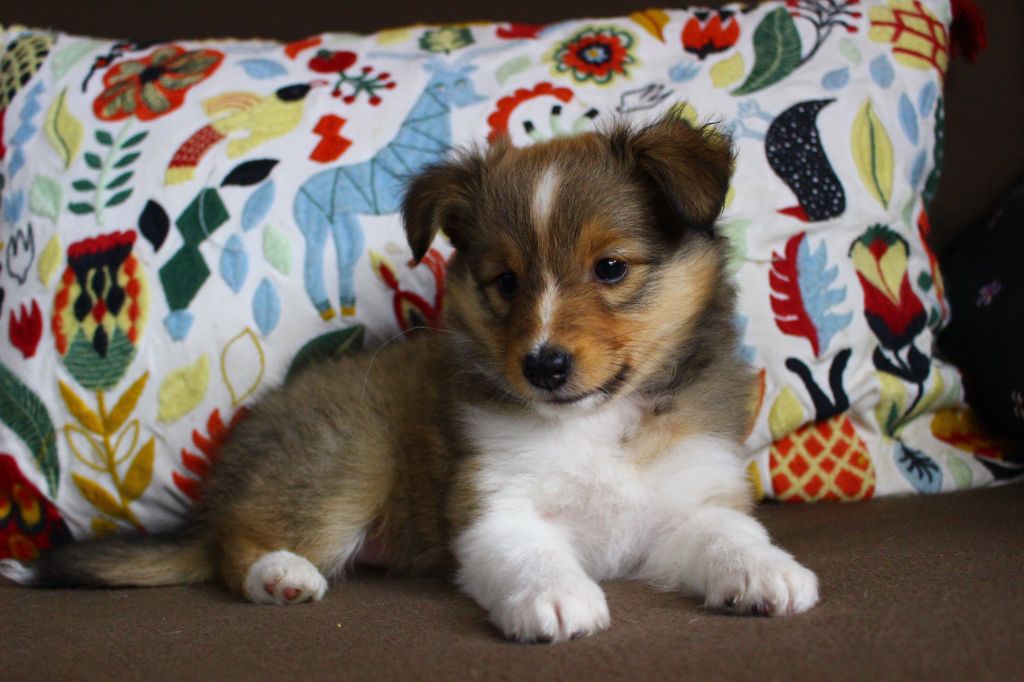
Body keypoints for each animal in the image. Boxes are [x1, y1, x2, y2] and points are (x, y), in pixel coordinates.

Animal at [0, 112, 818, 643]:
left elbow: (729, 535)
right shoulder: (493, 507)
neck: (593, 423)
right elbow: (532, 552)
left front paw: (768, 574)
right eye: (505, 282)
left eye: (611, 268)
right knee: (233, 545)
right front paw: (558, 599)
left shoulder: (688, 501)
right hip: (349, 462)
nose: (543, 365)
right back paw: (280, 574)